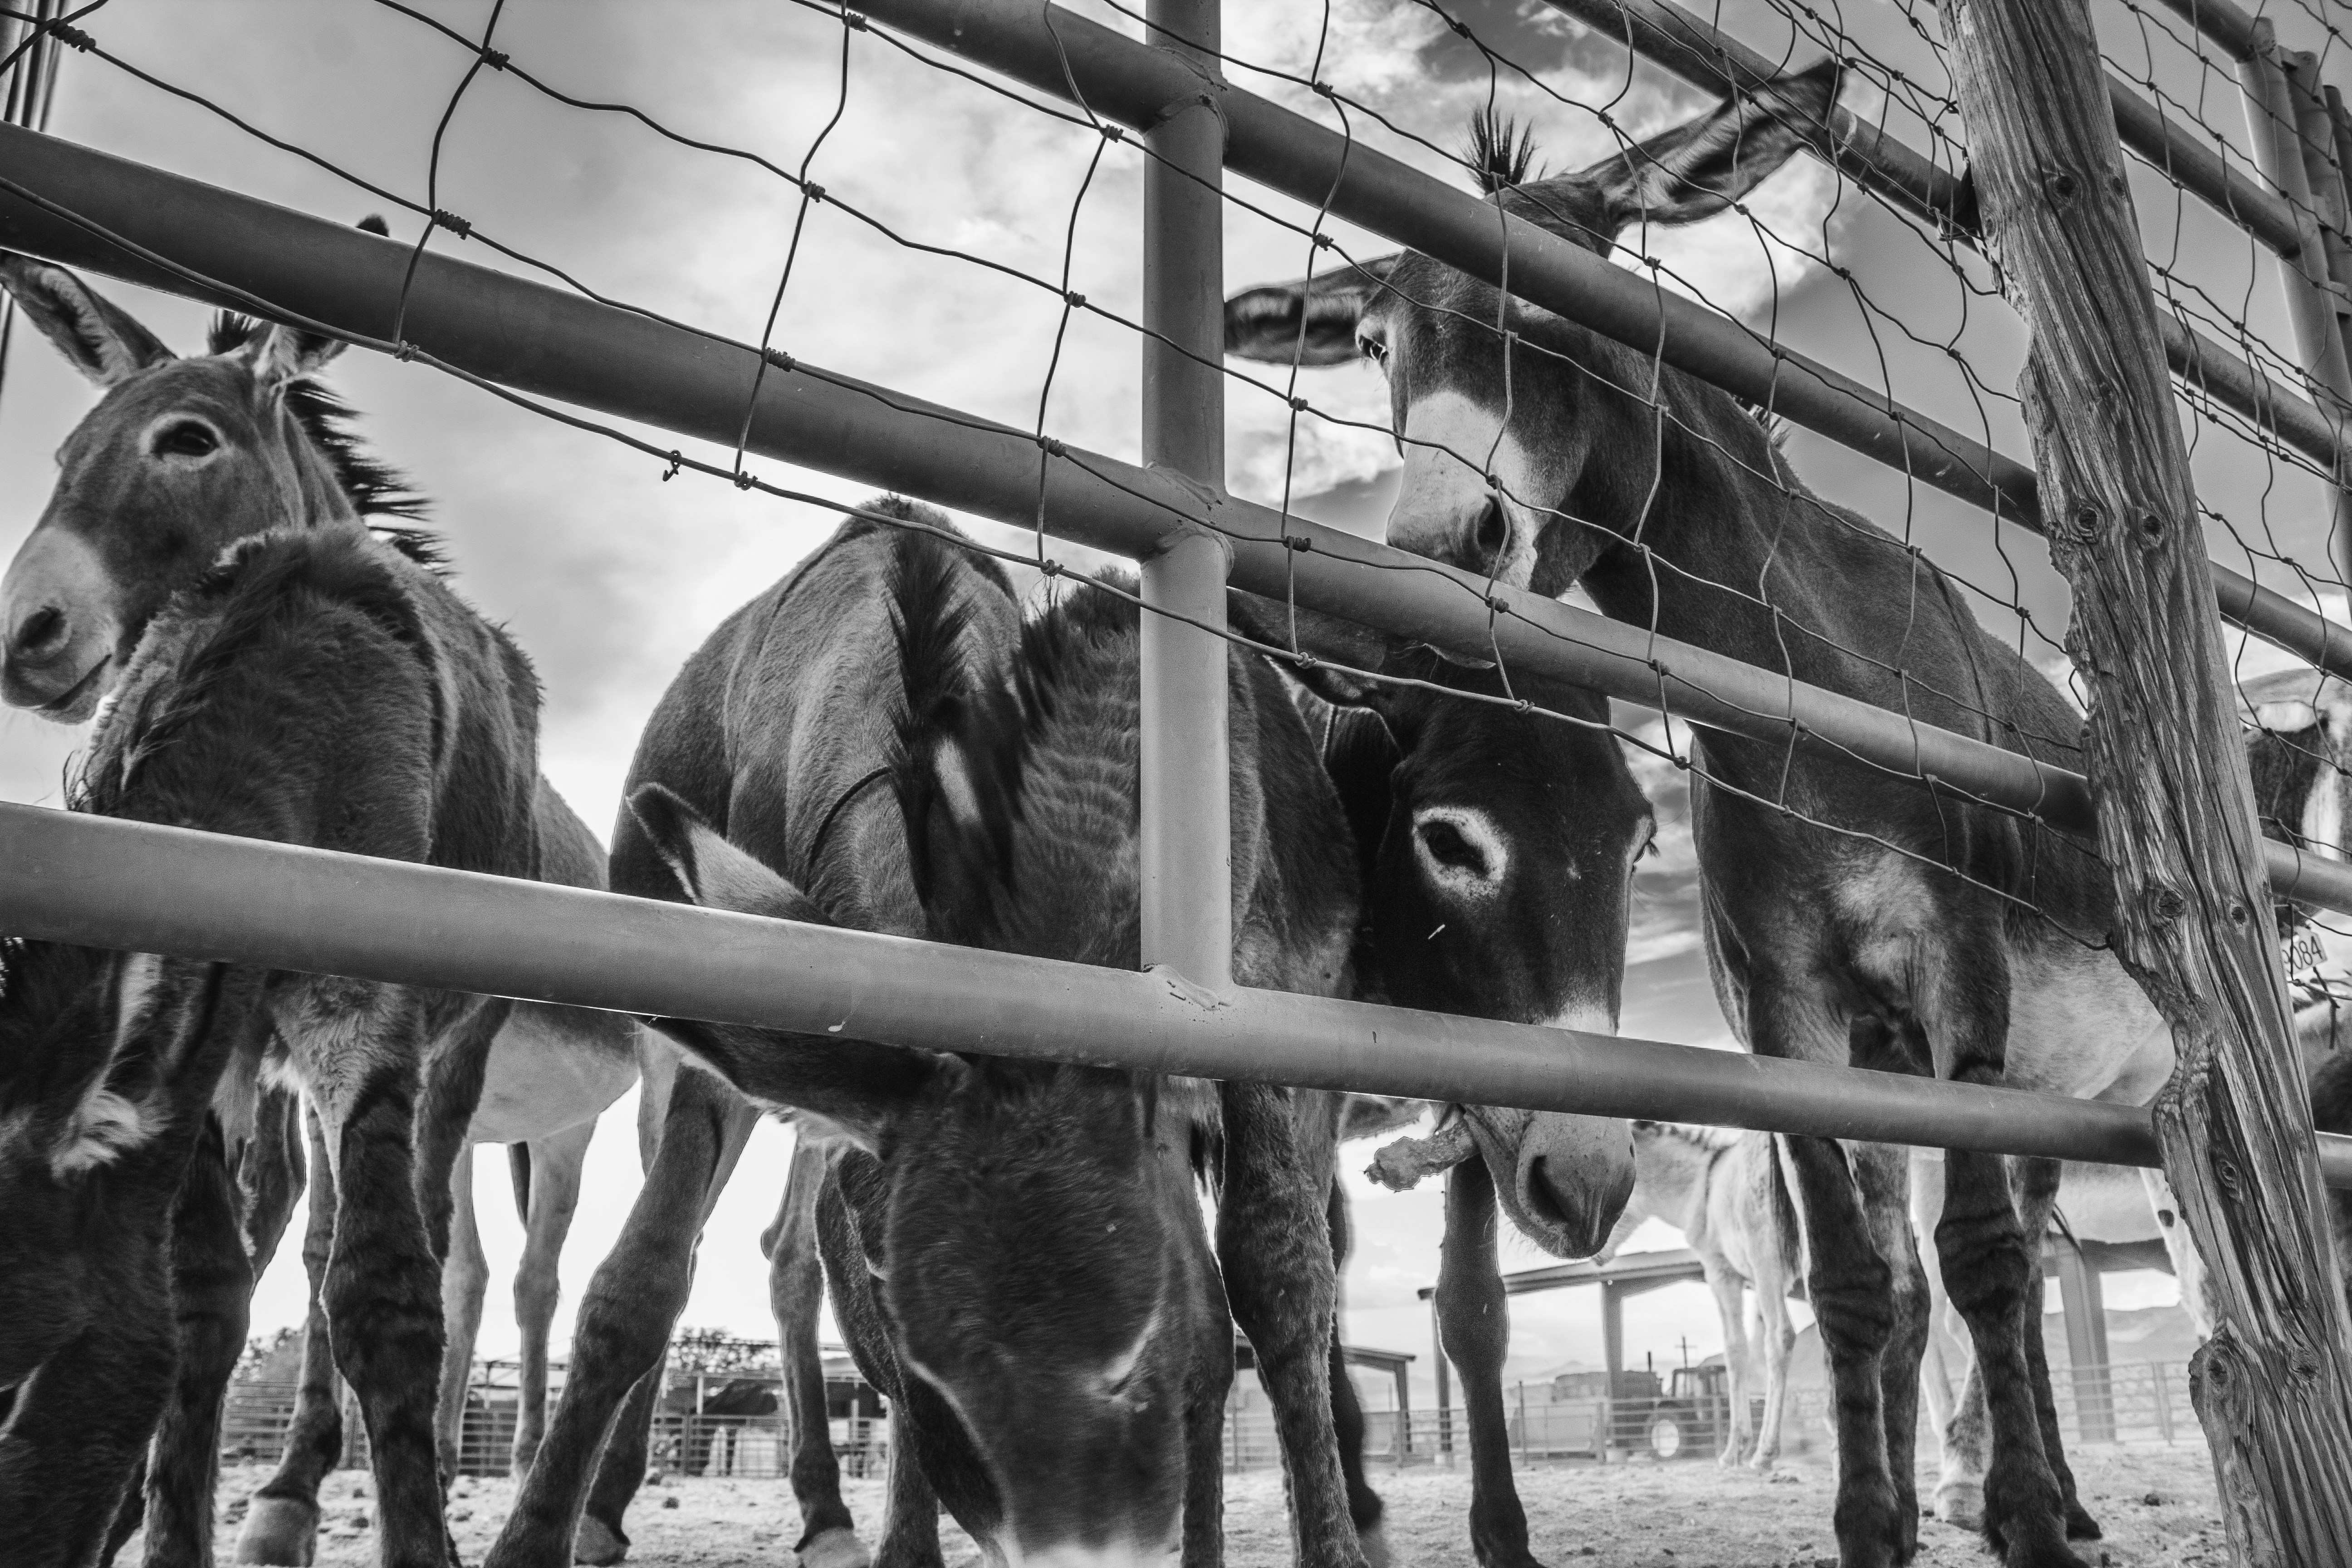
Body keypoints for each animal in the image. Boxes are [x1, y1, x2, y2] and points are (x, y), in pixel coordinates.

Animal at [0, 517, 539, 1568]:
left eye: (14, 1381)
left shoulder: (360, 1008)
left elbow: (383, 1295)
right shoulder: (210, 1050)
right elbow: (202, 1298)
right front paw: (168, 1535)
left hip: (455, 1041)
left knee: (408, 1218)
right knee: (310, 1223)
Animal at [1299, 648, 1648, 1567]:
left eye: (1640, 849)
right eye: (1448, 841)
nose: (1590, 1184)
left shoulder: (1484, 1094)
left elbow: (1474, 1307)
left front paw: (1503, 1537)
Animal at [1594, 1123, 1803, 1472]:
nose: (1594, 1254)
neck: (1702, 1184)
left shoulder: (1723, 1273)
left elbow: (1735, 1350)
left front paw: (1735, 1449)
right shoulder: (1763, 1283)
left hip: (1767, 1258)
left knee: (1781, 1336)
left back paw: (1765, 1452)